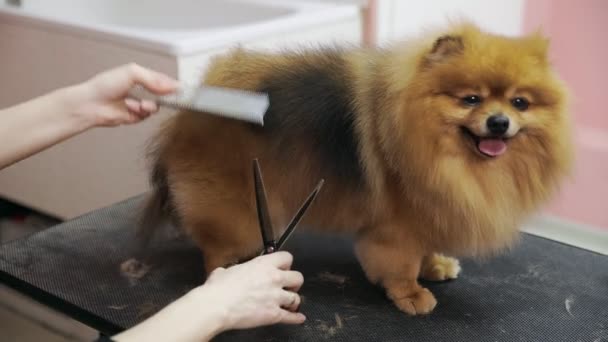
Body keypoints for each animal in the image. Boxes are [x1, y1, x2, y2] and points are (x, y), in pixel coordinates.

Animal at [140, 22, 572, 316]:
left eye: (520, 102)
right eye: (470, 99)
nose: (499, 122)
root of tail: (191, 108)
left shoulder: (430, 206)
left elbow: (425, 247)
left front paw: (435, 265)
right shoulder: (397, 227)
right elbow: (401, 264)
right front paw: (411, 294)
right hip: (238, 207)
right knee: (216, 248)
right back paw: (231, 277)